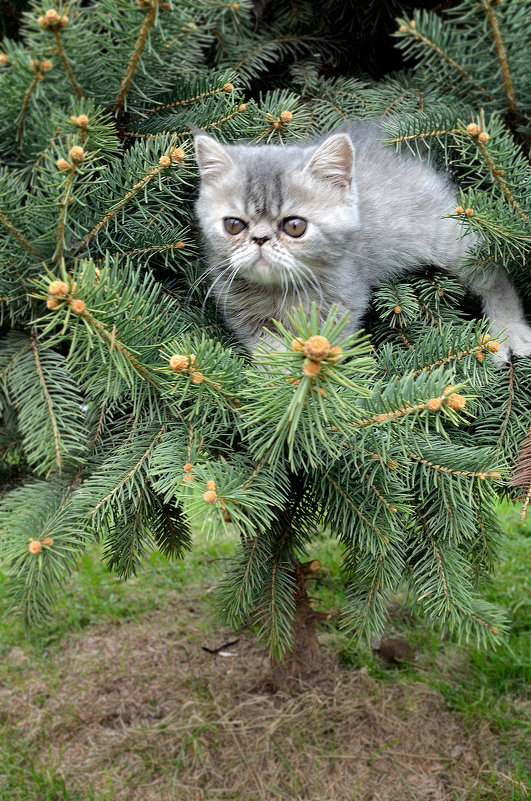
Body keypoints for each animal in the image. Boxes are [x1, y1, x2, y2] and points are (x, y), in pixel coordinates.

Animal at [194, 122, 531, 362]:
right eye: (234, 225)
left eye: (294, 226)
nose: (261, 239)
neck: (282, 289)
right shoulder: (242, 312)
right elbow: (268, 349)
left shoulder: (345, 299)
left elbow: (327, 345)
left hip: (447, 237)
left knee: (493, 270)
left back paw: (508, 330)